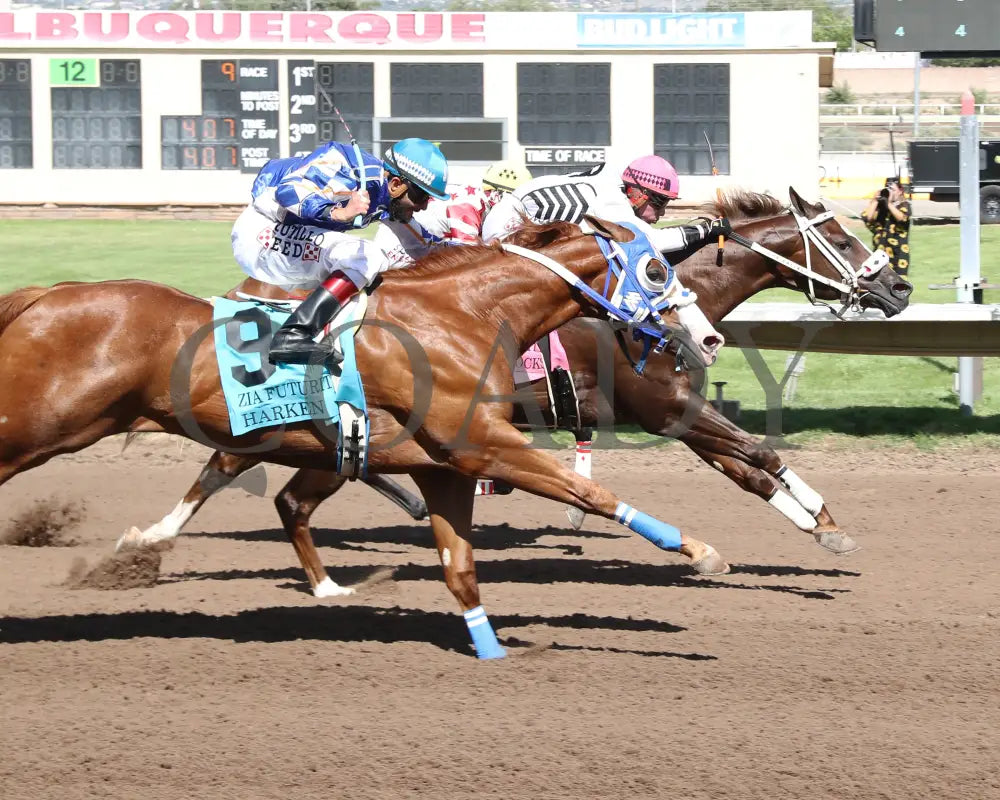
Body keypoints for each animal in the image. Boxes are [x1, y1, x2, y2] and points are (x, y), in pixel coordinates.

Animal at [1, 214, 736, 656]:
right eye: (655, 269)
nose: (707, 338)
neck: (463, 314)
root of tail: (42, 295)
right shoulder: (483, 444)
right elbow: (590, 495)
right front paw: (700, 550)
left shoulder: (443, 465)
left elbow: (459, 567)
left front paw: (492, 648)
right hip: (37, 424)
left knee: (273, 495)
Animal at [119, 186, 916, 592]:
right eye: (843, 238)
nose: (900, 288)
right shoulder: (668, 410)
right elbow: (760, 454)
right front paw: (819, 523)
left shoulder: (679, 416)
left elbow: (752, 468)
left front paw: (823, 526)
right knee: (225, 464)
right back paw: (146, 538)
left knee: (282, 482)